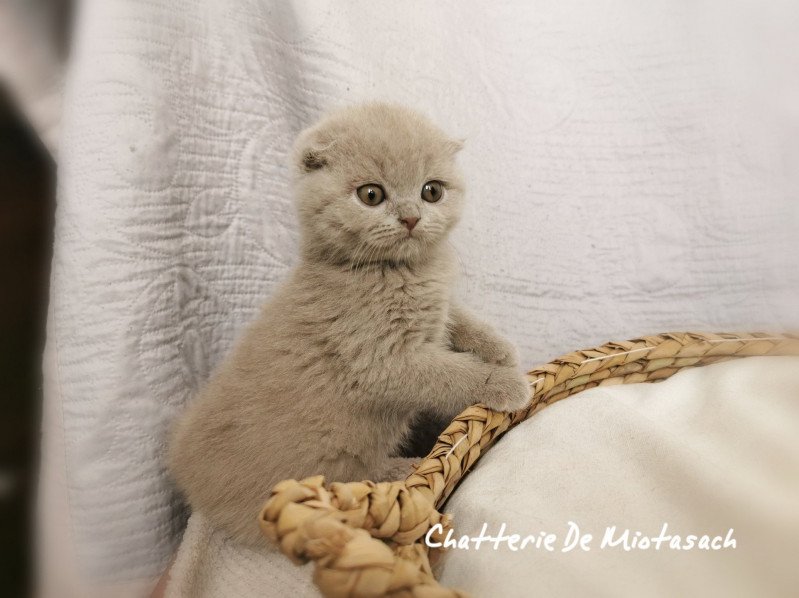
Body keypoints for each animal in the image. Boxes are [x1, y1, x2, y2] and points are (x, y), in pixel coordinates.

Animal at [168, 103, 532, 548]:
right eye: (371, 195)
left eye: (432, 191)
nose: (411, 218)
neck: (398, 271)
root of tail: (187, 475)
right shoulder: (380, 361)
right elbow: (450, 373)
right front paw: (507, 383)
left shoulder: (439, 307)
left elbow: (456, 318)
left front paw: (499, 347)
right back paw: (404, 471)